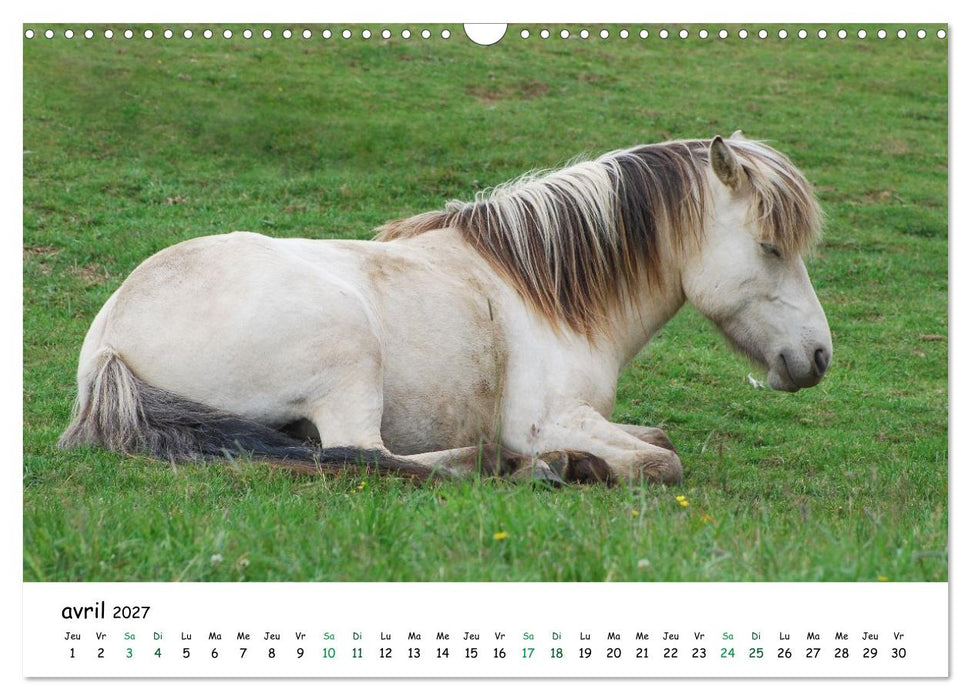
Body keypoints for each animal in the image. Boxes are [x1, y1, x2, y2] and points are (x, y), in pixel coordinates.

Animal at [58, 133, 832, 485]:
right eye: (770, 246)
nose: (818, 357)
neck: (545, 293)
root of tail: (109, 343)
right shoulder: (550, 416)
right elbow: (661, 461)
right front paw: (572, 462)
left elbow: (659, 435)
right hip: (349, 352)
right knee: (358, 452)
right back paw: (518, 464)